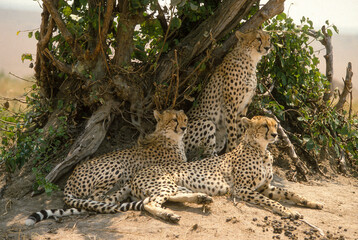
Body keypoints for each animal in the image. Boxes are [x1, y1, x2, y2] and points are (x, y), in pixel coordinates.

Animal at [25, 109, 187, 226]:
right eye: (174, 119)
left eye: (184, 119)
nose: (184, 128)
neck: (169, 138)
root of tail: (71, 178)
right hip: (117, 166)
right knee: (96, 198)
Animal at [130, 115, 324, 222]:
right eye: (265, 126)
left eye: (275, 125)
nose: (276, 134)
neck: (261, 150)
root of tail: (135, 174)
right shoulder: (242, 189)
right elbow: (273, 202)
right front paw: (289, 211)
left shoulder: (264, 187)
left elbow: (291, 193)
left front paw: (311, 202)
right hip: (165, 183)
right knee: (150, 203)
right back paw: (168, 216)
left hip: (177, 186)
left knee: (168, 198)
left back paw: (201, 198)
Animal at [185, 29, 272, 158]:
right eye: (258, 39)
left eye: (268, 39)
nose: (267, 47)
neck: (250, 60)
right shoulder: (231, 105)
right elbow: (232, 131)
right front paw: (232, 150)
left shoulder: (244, 106)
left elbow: (240, 128)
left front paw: (239, 149)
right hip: (207, 123)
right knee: (206, 155)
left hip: (219, 138)